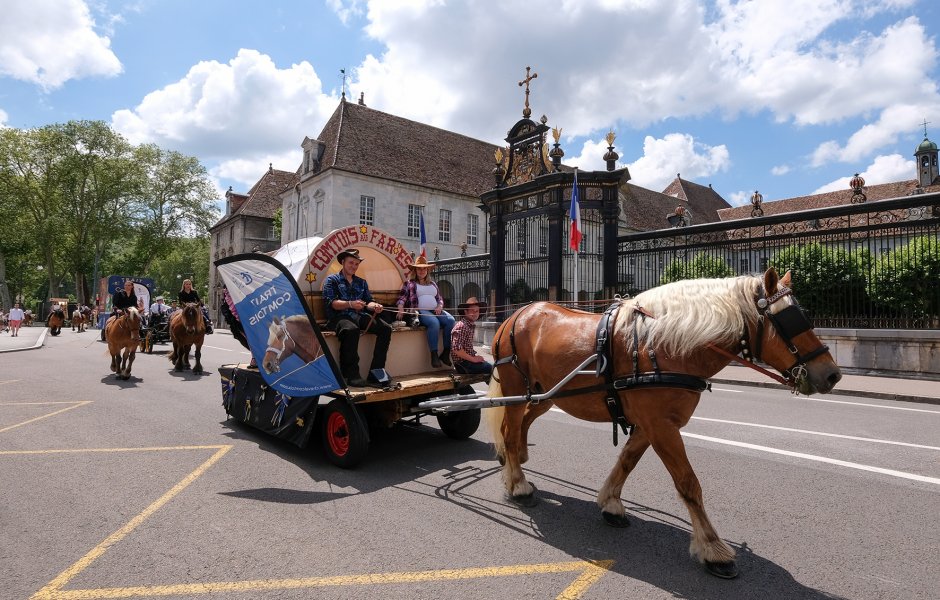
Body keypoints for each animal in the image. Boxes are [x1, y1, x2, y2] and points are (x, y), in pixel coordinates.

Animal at [482, 270, 840, 580]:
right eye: (789, 320)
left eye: (805, 316)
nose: (832, 374)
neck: (662, 346)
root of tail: (515, 315)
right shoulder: (661, 427)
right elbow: (688, 483)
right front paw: (713, 549)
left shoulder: (650, 425)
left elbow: (626, 462)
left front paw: (611, 504)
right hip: (516, 389)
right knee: (509, 431)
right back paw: (517, 483)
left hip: (547, 394)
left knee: (524, 423)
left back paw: (515, 461)